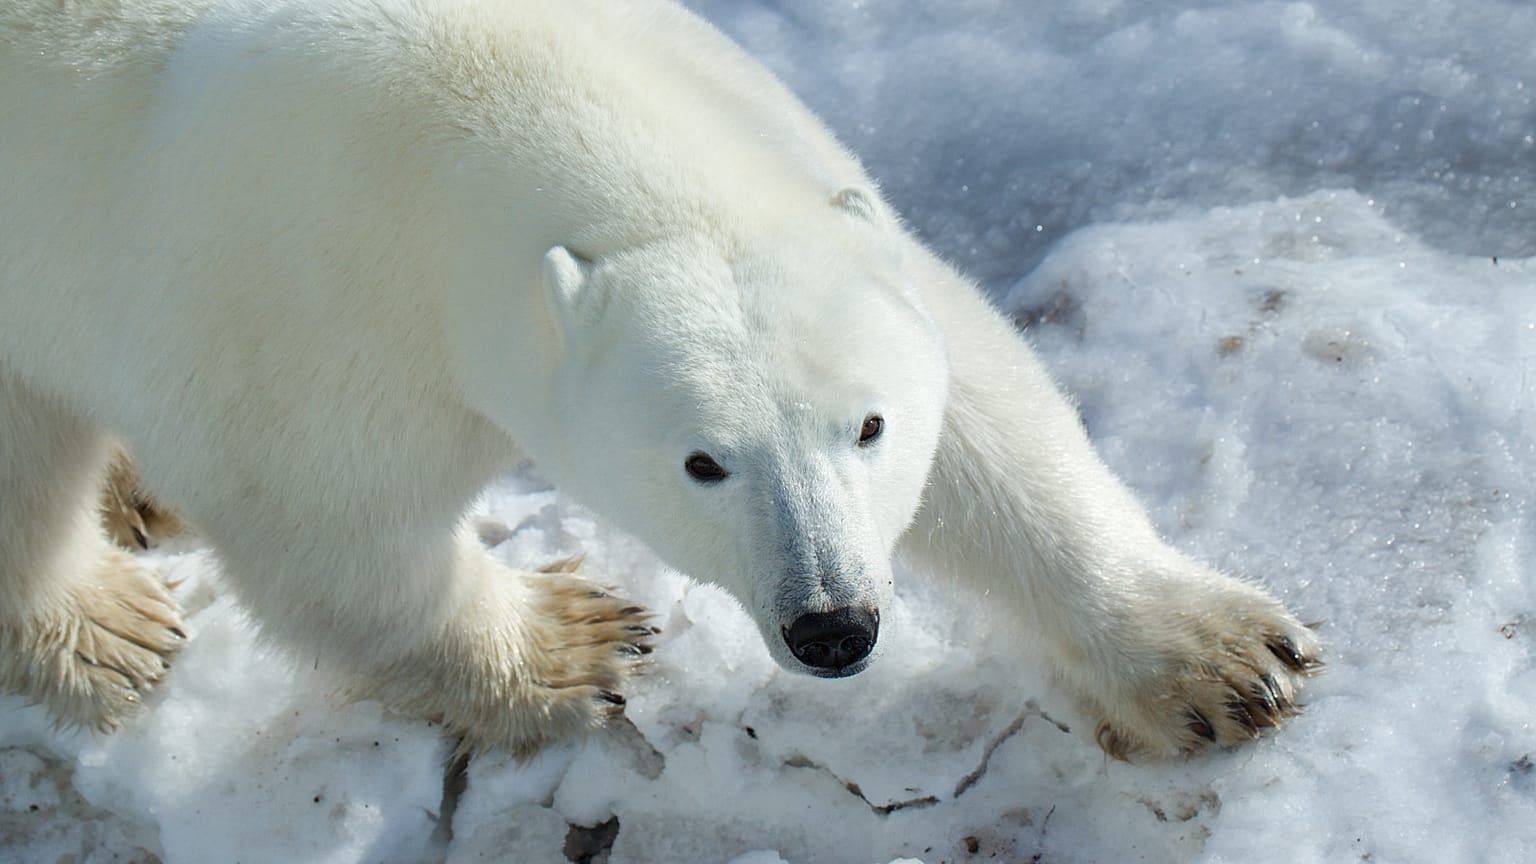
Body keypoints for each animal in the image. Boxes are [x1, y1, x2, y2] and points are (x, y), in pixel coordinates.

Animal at [0, 0, 1320, 761]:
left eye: (869, 427)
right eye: (702, 463)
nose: (835, 626)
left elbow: (986, 409)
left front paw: (1222, 660)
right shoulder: (300, 298)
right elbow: (332, 526)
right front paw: (570, 645)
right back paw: (105, 624)